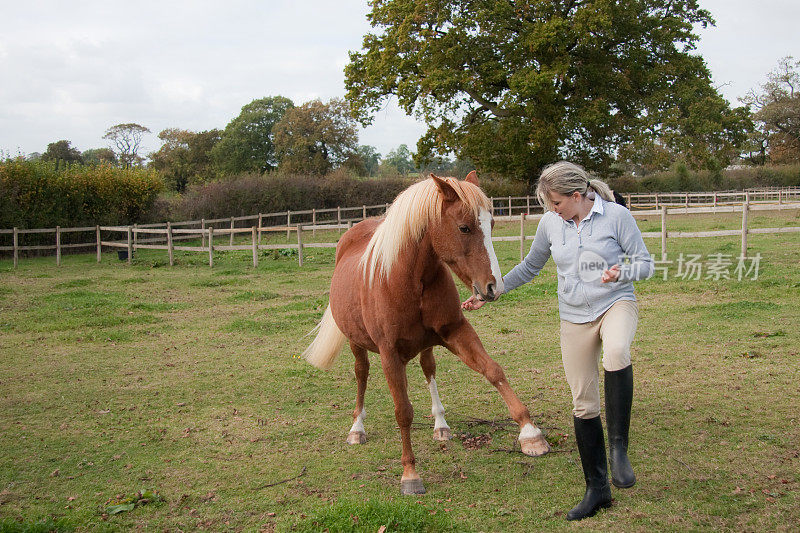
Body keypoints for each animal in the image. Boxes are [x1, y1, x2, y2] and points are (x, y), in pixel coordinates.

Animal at [300, 172, 552, 492]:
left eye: (491, 224)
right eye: (464, 227)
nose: (494, 288)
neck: (407, 280)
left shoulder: (456, 331)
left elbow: (493, 370)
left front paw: (531, 434)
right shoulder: (389, 354)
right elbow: (403, 411)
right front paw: (410, 473)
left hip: (427, 345)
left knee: (428, 367)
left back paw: (440, 425)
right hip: (357, 343)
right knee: (361, 374)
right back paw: (357, 428)